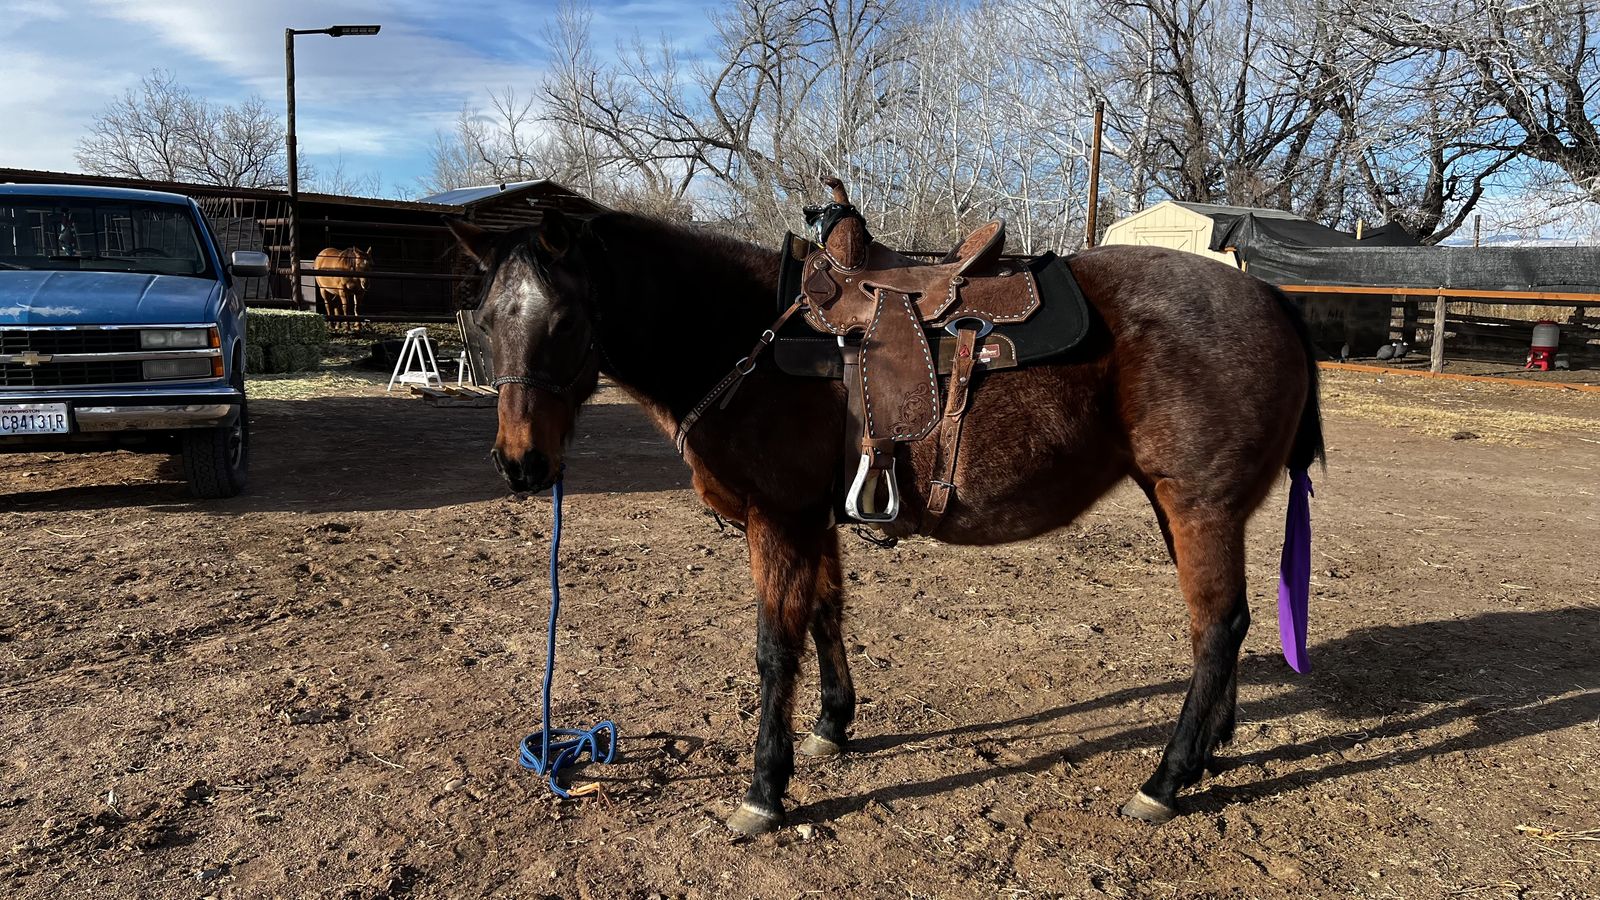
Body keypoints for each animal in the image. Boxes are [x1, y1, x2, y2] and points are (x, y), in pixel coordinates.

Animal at [446, 202, 1323, 835]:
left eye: (563, 321)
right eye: (484, 323)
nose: (520, 464)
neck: (742, 340)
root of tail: (1270, 297)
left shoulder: (779, 522)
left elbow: (775, 652)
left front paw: (764, 789)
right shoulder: (817, 521)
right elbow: (827, 614)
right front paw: (833, 726)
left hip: (1199, 506)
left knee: (1215, 629)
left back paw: (1166, 780)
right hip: (1188, 510)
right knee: (1230, 628)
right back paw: (1209, 753)